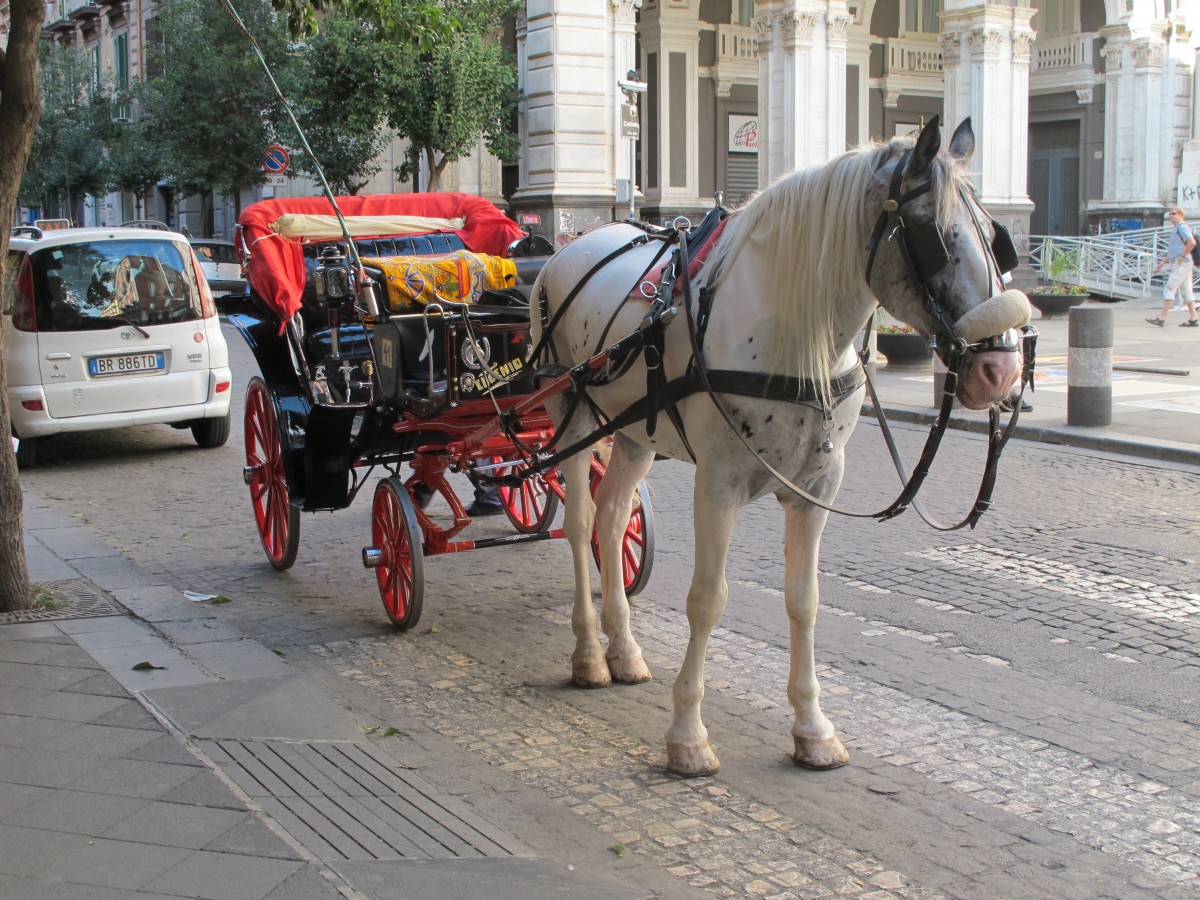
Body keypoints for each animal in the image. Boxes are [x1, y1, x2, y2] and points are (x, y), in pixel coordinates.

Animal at [535, 120, 1032, 777]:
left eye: (997, 239)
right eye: (935, 236)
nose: (1001, 370)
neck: (793, 333)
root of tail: (567, 248)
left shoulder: (816, 489)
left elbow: (804, 601)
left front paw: (812, 728)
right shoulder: (717, 484)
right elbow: (707, 601)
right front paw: (688, 735)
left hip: (636, 430)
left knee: (613, 518)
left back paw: (624, 648)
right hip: (572, 417)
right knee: (579, 521)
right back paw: (590, 652)